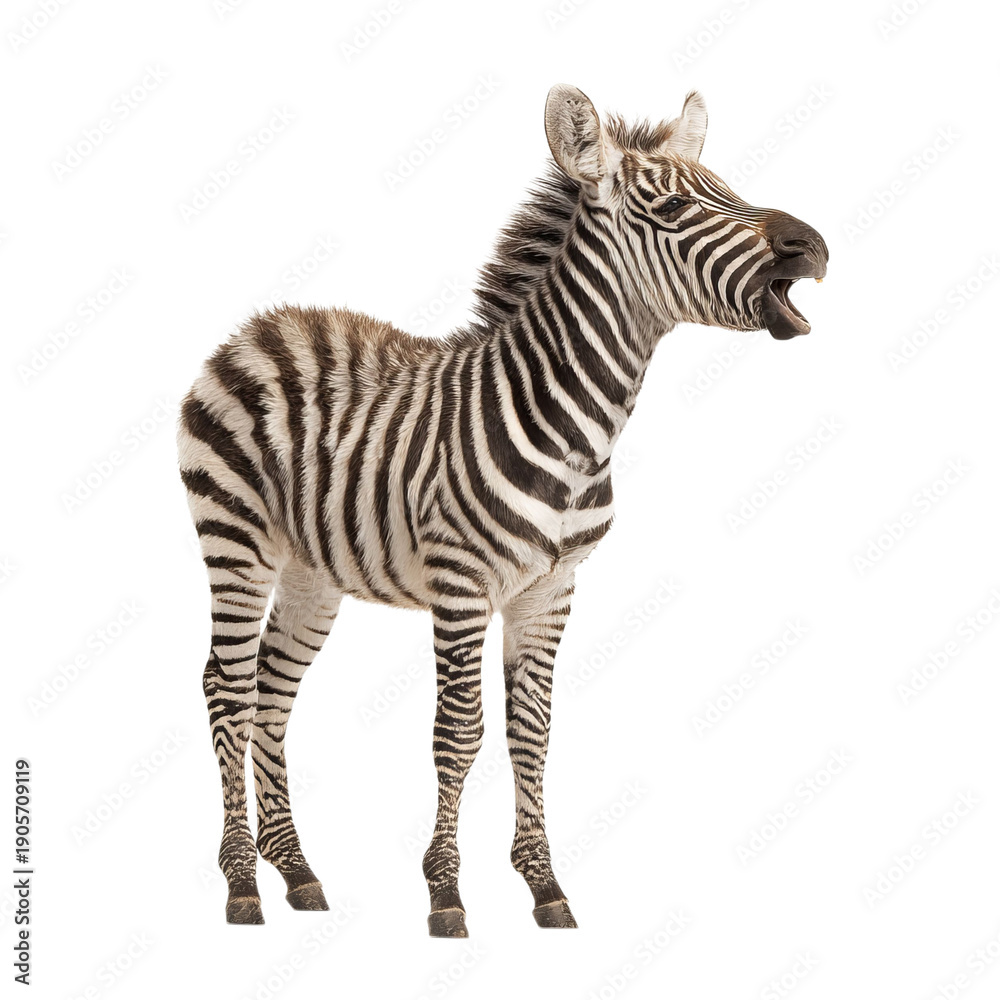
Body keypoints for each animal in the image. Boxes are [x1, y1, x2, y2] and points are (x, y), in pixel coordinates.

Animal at [178, 84, 828, 936]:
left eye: (731, 187)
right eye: (674, 206)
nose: (814, 247)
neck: (577, 432)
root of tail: (258, 326)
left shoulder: (551, 589)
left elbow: (533, 731)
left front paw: (545, 887)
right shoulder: (461, 585)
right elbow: (459, 732)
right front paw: (446, 894)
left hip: (312, 571)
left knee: (270, 693)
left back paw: (297, 872)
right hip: (236, 541)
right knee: (227, 687)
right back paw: (241, 885)